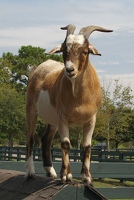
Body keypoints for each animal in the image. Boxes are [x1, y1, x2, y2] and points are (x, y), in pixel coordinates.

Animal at [25, 24, 112, 186]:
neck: (80, 98)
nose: (70, 70)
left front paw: (86, 177)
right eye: (65, 50)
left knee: (45, 139)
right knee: (31, 139)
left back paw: (50, 171)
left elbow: (87, 146)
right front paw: (66, 176)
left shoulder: (91, 120)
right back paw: (30, 172)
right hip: (31, 110)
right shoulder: (63, 118)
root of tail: (37, 69)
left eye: (85, 51)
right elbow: (65, 143)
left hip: (52, 121)